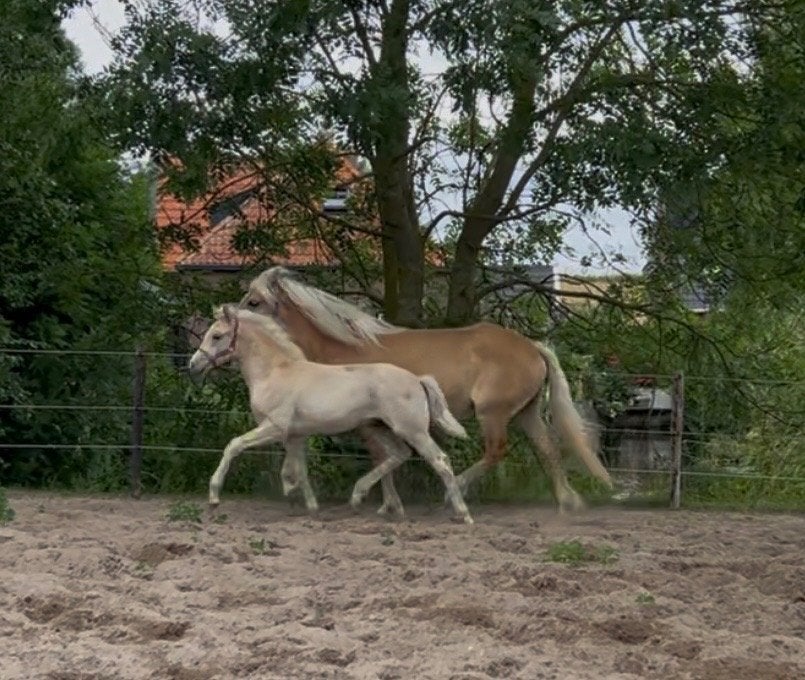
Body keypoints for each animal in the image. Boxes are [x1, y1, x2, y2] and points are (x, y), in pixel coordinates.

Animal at [187, 304, 475, 524]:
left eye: (217, 336)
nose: (193, 365)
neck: (274, 373)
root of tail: (417, 379)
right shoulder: (295, 435)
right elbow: (299, 469)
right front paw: (308, 505)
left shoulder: (275, 428)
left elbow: (234, 445)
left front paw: (214, 498)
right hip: (378, 427)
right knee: (398, 455)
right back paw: (361, 496)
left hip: (412, 430)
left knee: (439, 460)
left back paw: (463, 514)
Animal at [237, 266, 613, 514]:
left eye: (254, 301)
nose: (229, 319)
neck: (345, 350)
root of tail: (532, 347)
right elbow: (387, 457)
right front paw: (388, 504)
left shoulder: (367, 424)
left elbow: (383, 457)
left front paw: (384, 503)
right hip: (526, 412)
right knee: (547, 449)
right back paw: (567, 502)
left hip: (493, 413)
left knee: (496, 451)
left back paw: (455, 493)